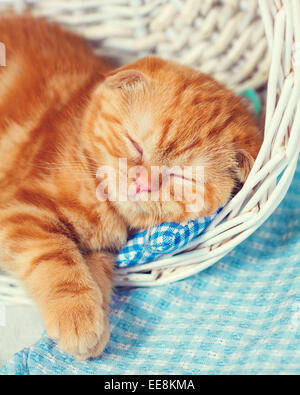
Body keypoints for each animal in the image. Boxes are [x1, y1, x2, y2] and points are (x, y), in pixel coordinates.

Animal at [0, 15, 262, 360]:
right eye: (135, 144)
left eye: (183, 177)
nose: (142, 183)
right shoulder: (20, 209)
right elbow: (55, 258)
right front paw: (77, 316)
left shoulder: (101, 250)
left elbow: (95, 271)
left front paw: (97, 315)